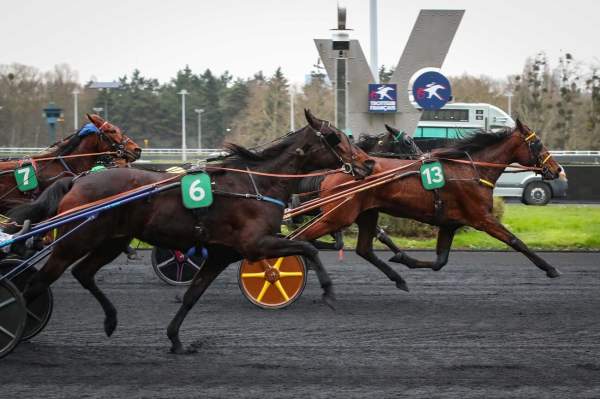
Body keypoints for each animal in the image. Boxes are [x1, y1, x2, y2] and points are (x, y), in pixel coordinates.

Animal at [292, 119, 564, 290]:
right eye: (538, 143)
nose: (557, 169)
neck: (470, 171)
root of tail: (335, 171)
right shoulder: (482, 218)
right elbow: (516, 241)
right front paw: (551, 268)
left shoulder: (450, 223)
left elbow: (440, 261)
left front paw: (404, 259)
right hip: (338, 215)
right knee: (301, 238)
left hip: (365, 213)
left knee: (363, 249)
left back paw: (398, 279)